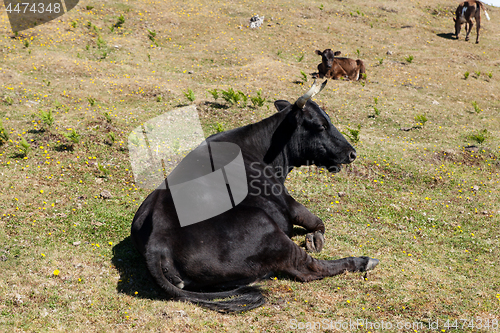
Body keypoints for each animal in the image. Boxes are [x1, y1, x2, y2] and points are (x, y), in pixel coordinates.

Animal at [130, 80, 378, 312]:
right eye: (321, 125)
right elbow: (316, 221)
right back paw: (363, 261)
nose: (352, 153)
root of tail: (157, 240)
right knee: (308, 268)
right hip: (265, 227)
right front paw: (315, 238)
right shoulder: (287, 202)